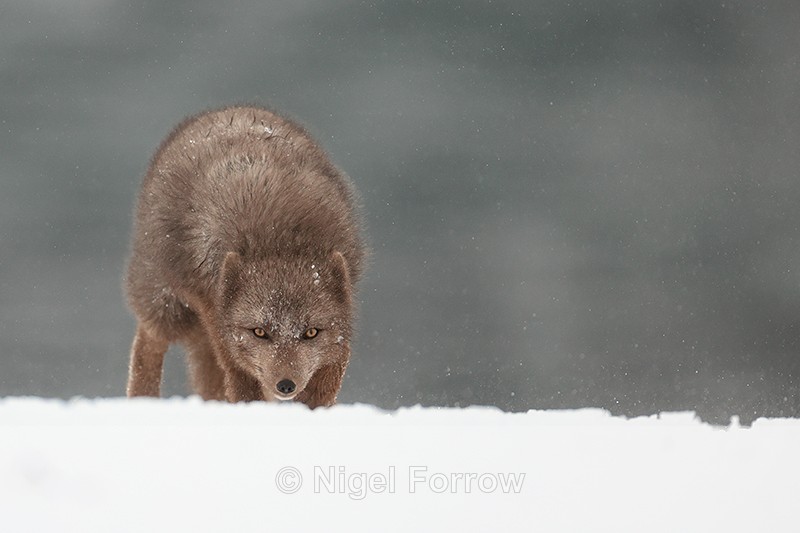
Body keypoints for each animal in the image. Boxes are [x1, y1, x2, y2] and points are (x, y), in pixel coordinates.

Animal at [124, 105, 365, 406]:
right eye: (259, 332)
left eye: (311, 332)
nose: (285, 385)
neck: (280, 238)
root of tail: (228, 109)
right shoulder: (218, 318)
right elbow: (242, 381)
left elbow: (327, 380)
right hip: (167, 305)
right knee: (148, 342)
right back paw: (141, 400)